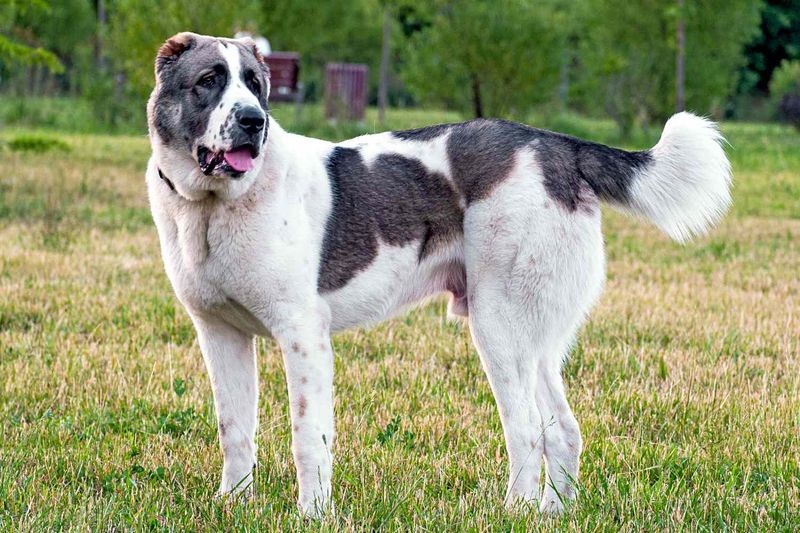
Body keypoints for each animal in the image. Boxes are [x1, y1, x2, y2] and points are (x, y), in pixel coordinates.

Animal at [144, 33, 732, 516]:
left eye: (255, 85)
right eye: (209, 81)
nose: (254, 121)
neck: (215, 207)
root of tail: (557, 145)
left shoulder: (302, 336)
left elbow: (307, 435)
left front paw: (312, 516)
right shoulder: (220, 334)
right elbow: (234, 430)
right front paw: (232, 504)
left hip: (498, 326)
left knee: (527, 430)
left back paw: (513, 513)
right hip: (533, 338)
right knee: (562, 430)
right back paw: (552, 513)